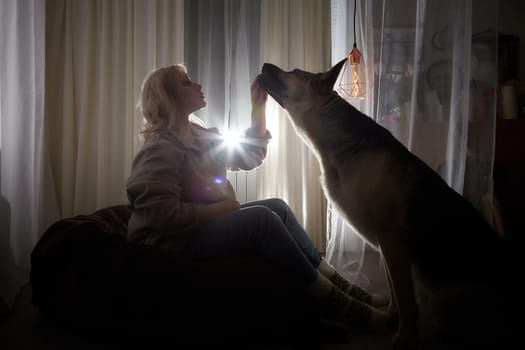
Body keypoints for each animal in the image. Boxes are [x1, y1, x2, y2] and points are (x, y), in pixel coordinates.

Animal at [258, 59, 516, 348]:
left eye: (294, 72)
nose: (265, 63)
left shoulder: (392, 241)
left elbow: (406, 299)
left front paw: (405, 337)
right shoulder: (387, 247)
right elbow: (395, 292)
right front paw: (393, 317)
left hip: (441, 300)